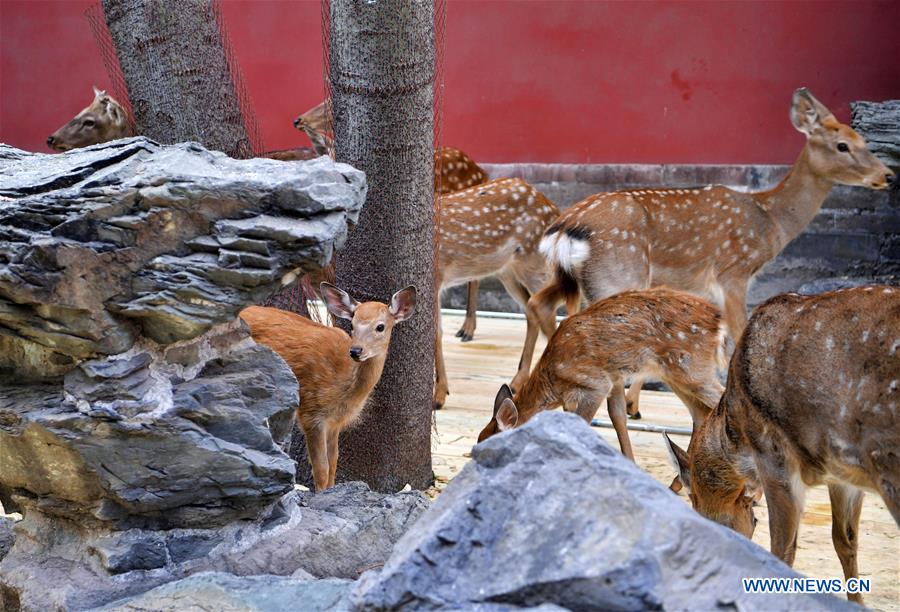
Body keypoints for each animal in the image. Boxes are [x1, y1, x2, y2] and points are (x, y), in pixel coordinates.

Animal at [243, 284, 418, 492]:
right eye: (352, 325)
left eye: (380, 326)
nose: (356, 351)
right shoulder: (311, 411)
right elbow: (321, 468)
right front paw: (321, 495)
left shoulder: (335, 423)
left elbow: (334, 462)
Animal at [436, 175, 564, 408]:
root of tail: (553, 208)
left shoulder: (437, 276)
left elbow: (436, 332)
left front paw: (439, 395)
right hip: (508, 272)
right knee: (532, 312)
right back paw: (517, 382)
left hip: (536, 264)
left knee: (549, 313)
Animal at [478, 286, 724, 464]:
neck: (553, 381)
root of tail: (717, 319)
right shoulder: (606, 384)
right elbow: (613, 417)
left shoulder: (595, 384)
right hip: (675, 375)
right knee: (701, 413)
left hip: (691, 368)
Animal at [512, 87, 892, 406]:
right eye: (842, 145)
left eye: (862, 138)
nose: (888, 175)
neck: (770, 221)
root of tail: (565, 229)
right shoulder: (734, 271)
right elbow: (739, 332)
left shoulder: (700, 286)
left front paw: (639, 401)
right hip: (618, 273)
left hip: (567, 276)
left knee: (538, 303)